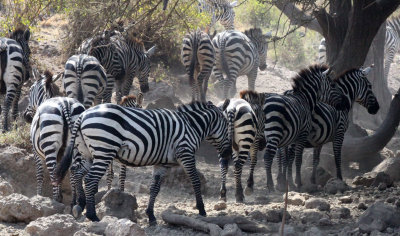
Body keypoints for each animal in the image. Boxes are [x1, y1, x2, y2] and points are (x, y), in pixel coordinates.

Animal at [52, 100, 231, 224]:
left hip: (88, 153)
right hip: (104, 150)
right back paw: (92, 215)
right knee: (89, 179)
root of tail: (83, 115)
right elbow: (195, 181)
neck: (191, 126)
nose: (228, 153)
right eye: (227, 125)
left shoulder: (161, 164)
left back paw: (79, 205)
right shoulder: (186, 153)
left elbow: (154, 188)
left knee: (76, 172)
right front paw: (202, 209)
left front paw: (151, 215)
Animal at [239, 64, 348, 192]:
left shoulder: (291, 137)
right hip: (273, 133)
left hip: (255, 136)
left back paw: (249, 185)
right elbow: (297, 159)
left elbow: (288, 158)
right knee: (267, 157)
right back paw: (270, 185)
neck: (305, 99)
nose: (345, 102)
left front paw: (287, 182)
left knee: (253, 157)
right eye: (332, 85)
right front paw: (298, 182)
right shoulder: (302, 135)